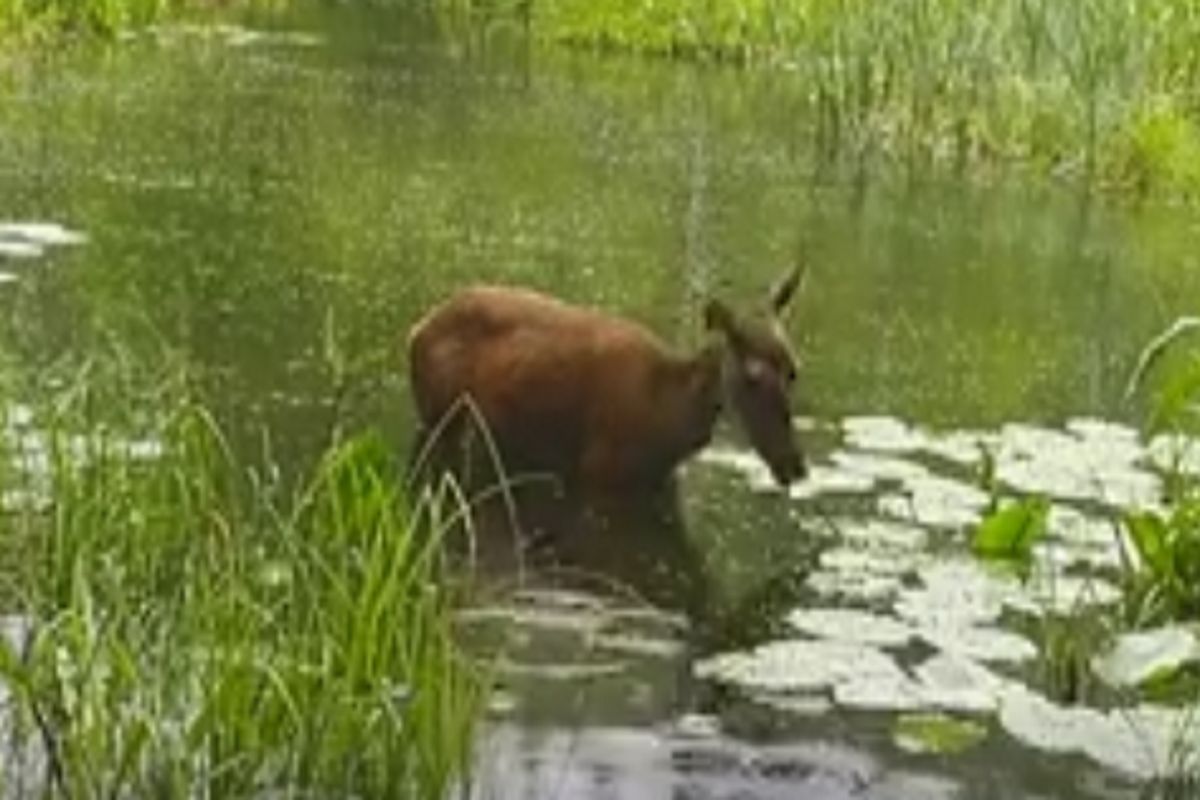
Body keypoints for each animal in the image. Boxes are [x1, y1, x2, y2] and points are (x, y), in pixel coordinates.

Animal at [403, 268, 806, 506]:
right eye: (752, 375)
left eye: (793, 370)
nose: (795, 465)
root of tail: (417, 329)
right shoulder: (599, 473)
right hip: (436, 414)